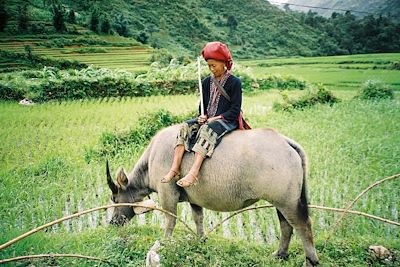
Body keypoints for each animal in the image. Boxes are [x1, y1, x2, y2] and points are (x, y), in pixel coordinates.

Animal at [106, 125, 318, 266]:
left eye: (115, 199)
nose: (113, 222)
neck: (151, 160)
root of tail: (286, 143)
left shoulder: (167, 194)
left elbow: (170, 220)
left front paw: (165, 242)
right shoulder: (194, 198)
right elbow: (198, 218)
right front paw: (201, 240)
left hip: (287, 201)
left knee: (302, 225)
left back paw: (311, 260)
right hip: (280, 201)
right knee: (286, 225)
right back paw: (280, 254)